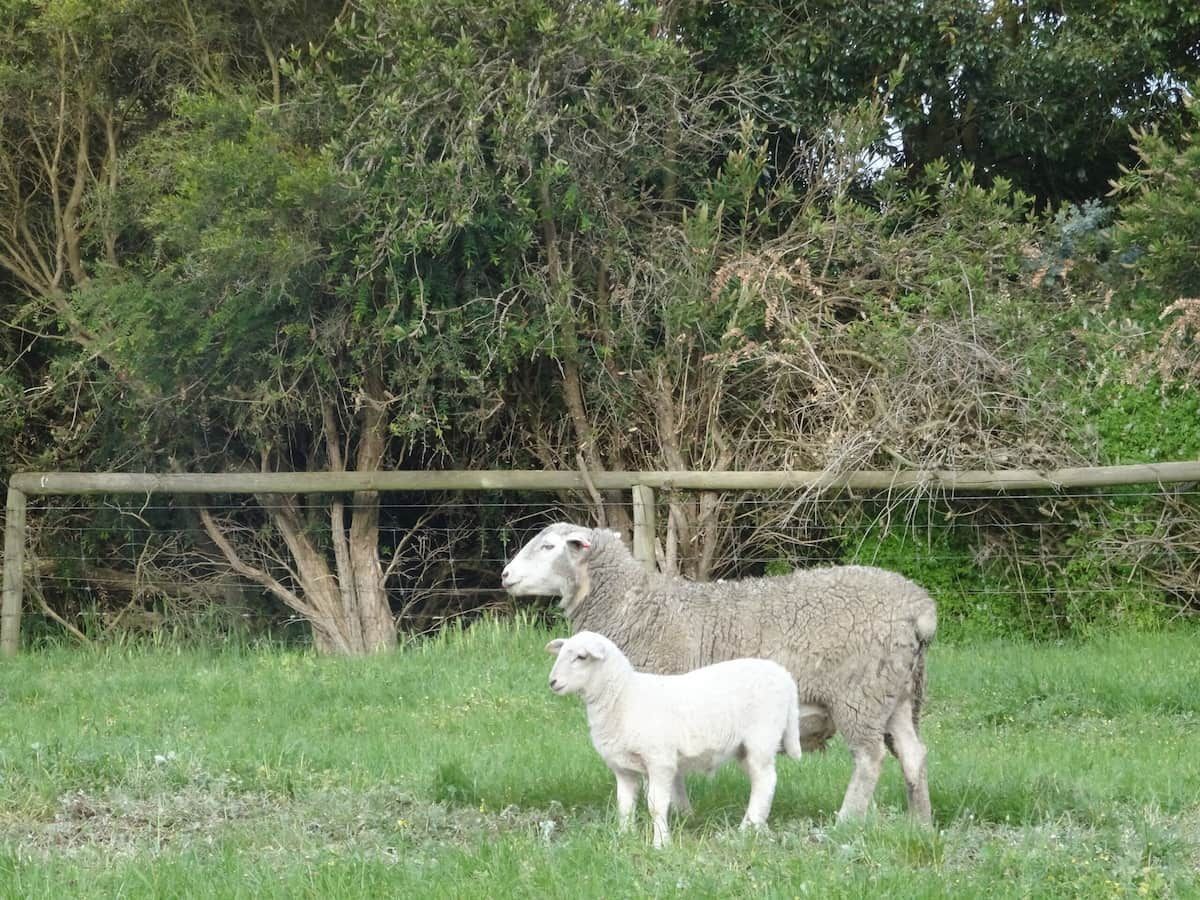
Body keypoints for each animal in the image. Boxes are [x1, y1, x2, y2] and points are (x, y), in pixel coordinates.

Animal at [503, 522, 938, 824]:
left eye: (548, 546)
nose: (505, 576)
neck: (635, 608)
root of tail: (920, 608)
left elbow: (669, 774)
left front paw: (679, 813)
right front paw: (684, 815)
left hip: (859, 693)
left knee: (869, 758)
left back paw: (847, 821)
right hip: (897, 693)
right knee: (913, 754)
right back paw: (920, 823)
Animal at [546, 630, 804, 847]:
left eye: (581, 657)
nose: (552, 682)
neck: (623, 696)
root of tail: (786, 676)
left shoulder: (660, 761)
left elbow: (656, 805)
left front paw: (661, 843)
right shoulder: (623, 768)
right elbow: (624, 805)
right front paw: (624, 836)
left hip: (762, 737)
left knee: (765, 780)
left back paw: (745, 830)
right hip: (743, 747)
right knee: (760, 781)